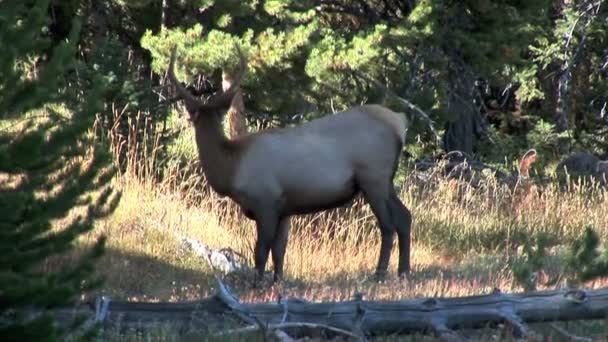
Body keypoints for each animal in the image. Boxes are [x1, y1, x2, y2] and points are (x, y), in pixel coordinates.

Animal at [166, 46, 414, 284]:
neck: (232, 168)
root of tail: (400, 123)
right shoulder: (285, 209)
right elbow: (280, 251)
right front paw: (277, 282)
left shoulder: (265, 202)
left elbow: (260, 251)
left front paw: (257, 285)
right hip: (385, 180)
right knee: (405, 216)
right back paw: (403, 272)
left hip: (373, 177)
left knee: (388, 224)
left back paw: (380, 275)